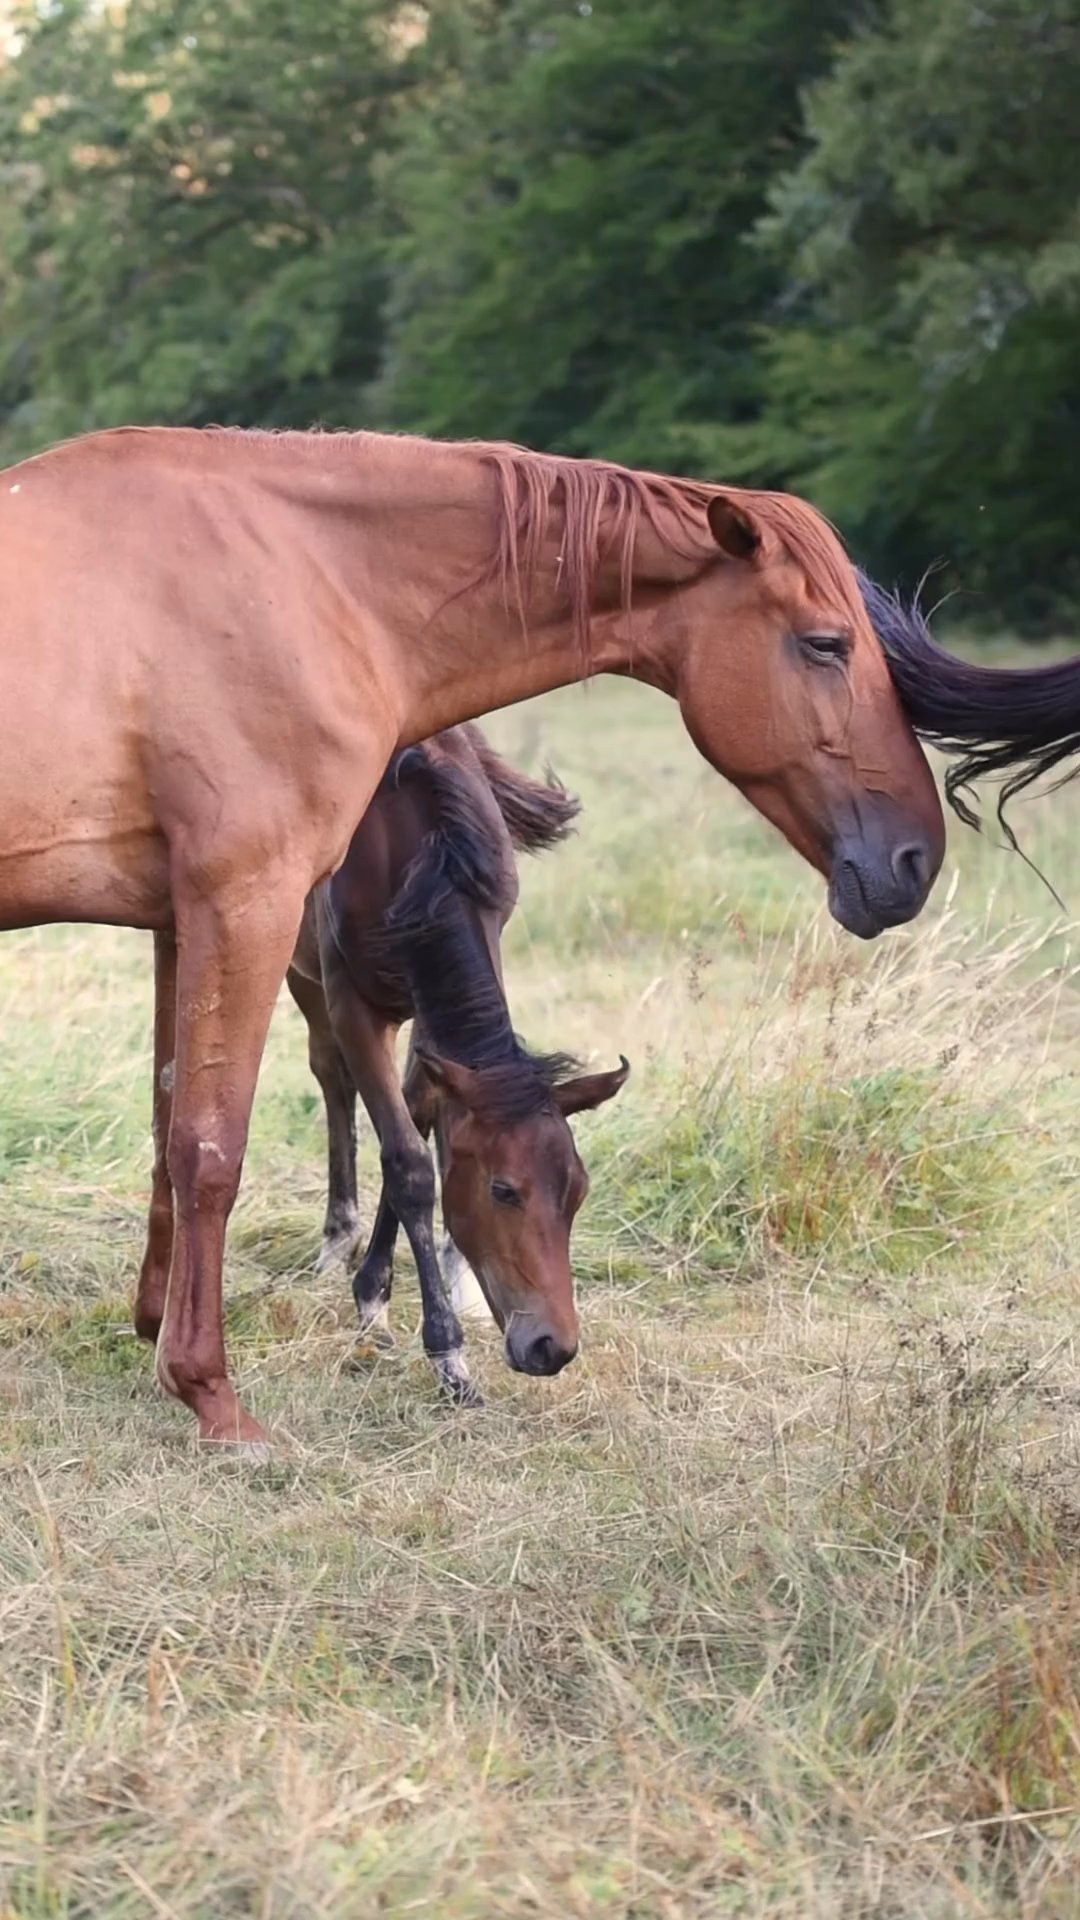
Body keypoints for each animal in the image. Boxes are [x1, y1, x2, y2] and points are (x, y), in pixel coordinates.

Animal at [282, 725, 626, 1405]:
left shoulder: (432, 1015)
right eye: (504, 1190)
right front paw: (442, 1350)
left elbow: (422, 1127)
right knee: (330, 1076)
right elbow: (409, 1163)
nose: (552, 1347)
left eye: (578, 1191)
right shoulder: (352, 1002)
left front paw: (385, 1289)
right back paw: (337, 1235)